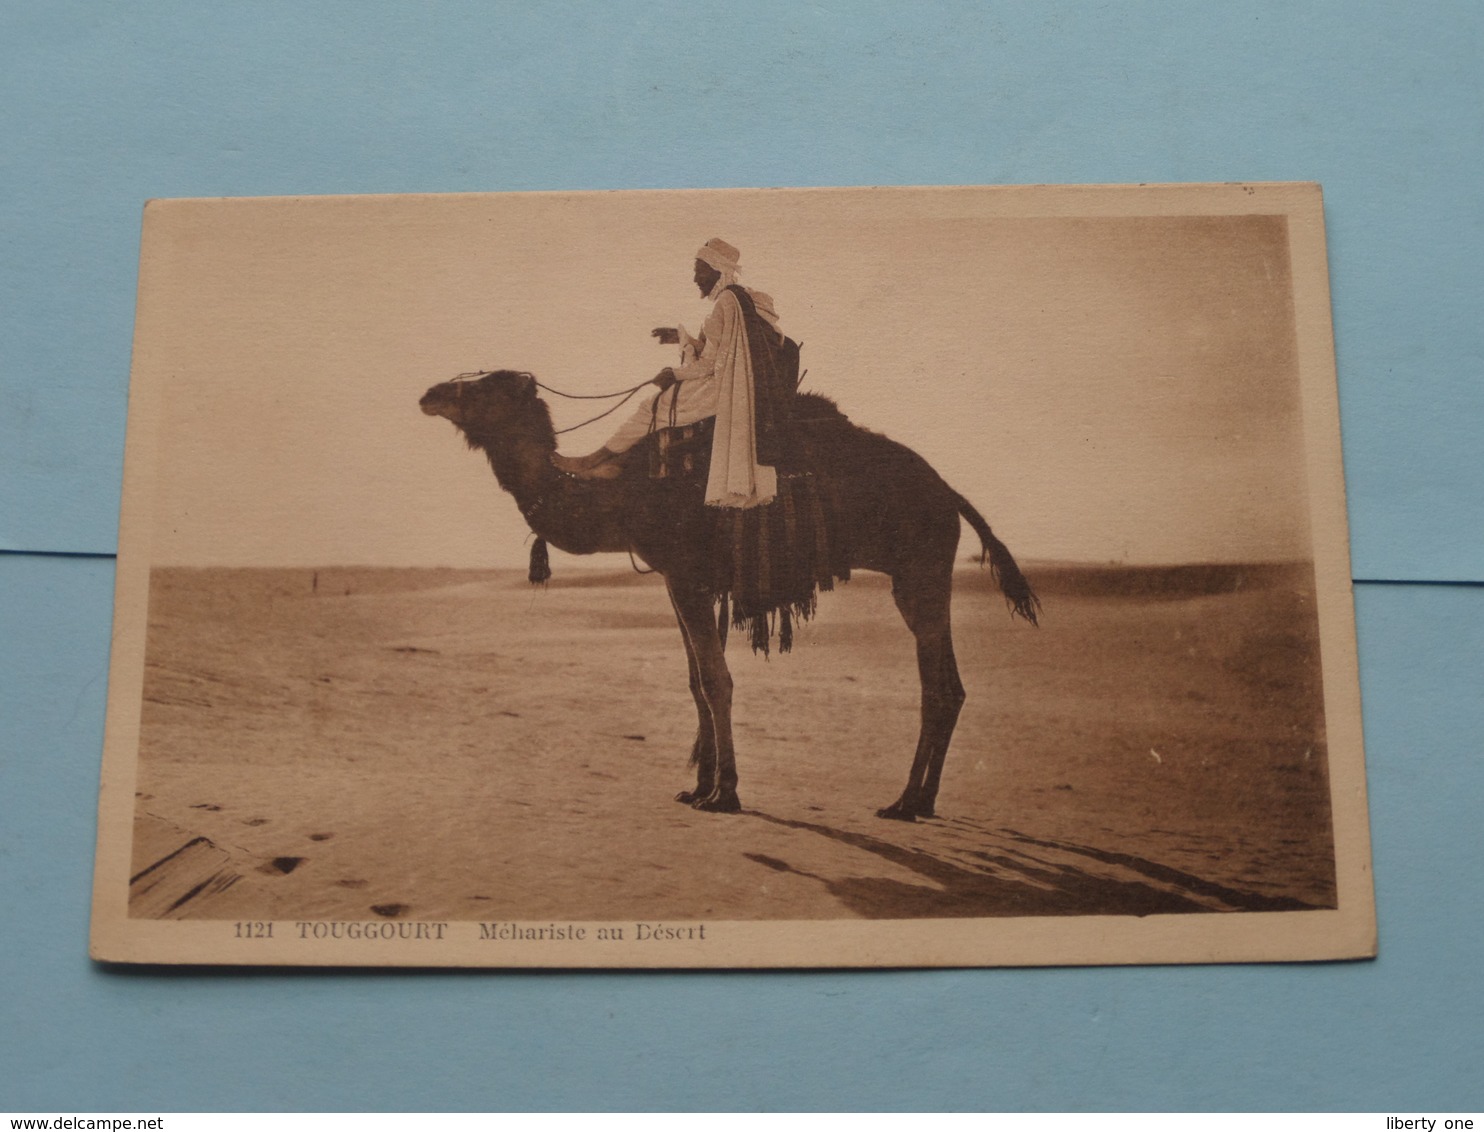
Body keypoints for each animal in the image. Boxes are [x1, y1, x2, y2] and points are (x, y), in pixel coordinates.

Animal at [421, 372, 1044, 824]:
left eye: (485, 385)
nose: (430, 393)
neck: (626, 491)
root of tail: (949, 492)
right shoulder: (677, 578)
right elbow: (696, 680)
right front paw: (695, 786)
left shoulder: (687, 573)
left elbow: (717, 680)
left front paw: (724, 794)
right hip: (923, 570)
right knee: (950, 687)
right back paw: (923, 801)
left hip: (920, 568)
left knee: (936, 687)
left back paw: (904, 802)